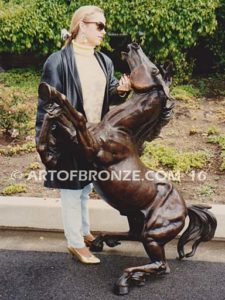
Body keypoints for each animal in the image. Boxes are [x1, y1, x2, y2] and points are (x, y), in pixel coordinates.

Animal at [37, 42, 216, 296]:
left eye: (153, 67)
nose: (133, 45)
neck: (119, 129)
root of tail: (185, 207)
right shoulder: (75, 144)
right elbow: (51, 134)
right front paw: (50, 104)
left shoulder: (93, 150)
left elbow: (78, 117)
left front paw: (53, 93)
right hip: (135, 218)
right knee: (134, 237)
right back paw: (104, 243)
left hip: (154, 235)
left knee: (161, 265)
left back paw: (125, 280)